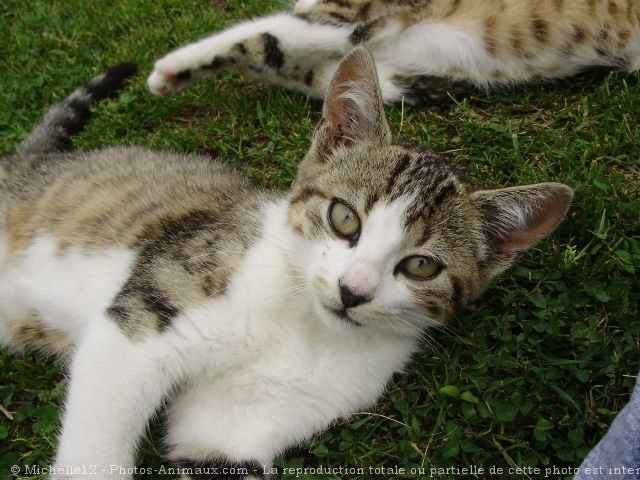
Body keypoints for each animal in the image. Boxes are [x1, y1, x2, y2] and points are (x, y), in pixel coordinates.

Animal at [0, 47, 568, 478]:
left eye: (422, 267)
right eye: (344, 218)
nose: (353, 291)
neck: (303, 327)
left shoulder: (233, 430)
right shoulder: (141, 322)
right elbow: (97, 448)